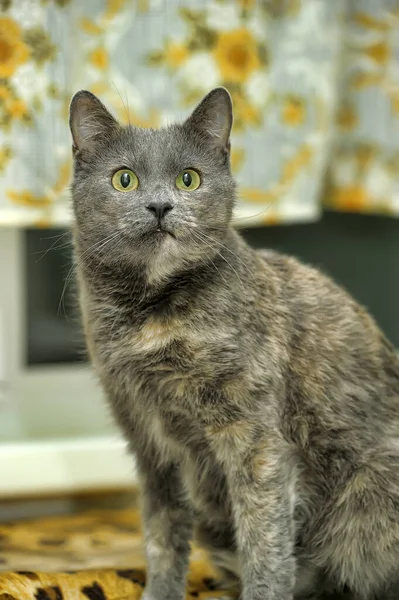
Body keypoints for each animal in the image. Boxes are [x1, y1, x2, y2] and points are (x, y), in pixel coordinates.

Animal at [69, 85, 399, 600]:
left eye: (188, 179)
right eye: (124, 179)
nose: (160, 207)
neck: (152, 316)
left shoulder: (254, 437)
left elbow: (264, 539)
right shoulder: (149, 441)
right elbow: (162, 536)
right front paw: (159, 592)